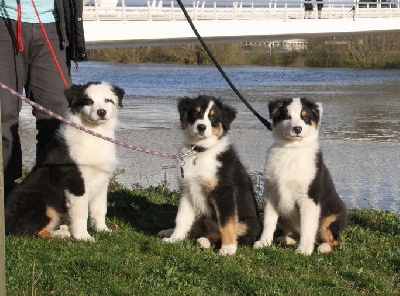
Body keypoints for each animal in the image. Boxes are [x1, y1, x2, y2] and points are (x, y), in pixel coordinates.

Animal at [4, 81, 123, 240]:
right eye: (88, 101)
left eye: (107, 100)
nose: (101, 112)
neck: (94, 134)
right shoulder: (76, 183)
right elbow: (81, 213)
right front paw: (82, 237)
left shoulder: (102, 181)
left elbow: (99, 209)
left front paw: (102, 229)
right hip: (41, 203)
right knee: (30, 231)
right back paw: (62, 233)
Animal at [158, 96, 264, 256]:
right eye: (196, 113)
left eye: (213, 117)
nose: (201, 127)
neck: (199, 151)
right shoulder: (188, 190)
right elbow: (181, 218)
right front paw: (174, 239)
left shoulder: (224, 191)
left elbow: (226, 223)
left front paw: (228, 249)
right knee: (195, 228)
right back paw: (170, 233)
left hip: (248, 223)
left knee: (224, 231)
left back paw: (205, 241)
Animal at [253, 97, 346, 254]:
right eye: (287, 116)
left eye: (305, 117)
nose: (297, 129)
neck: (292, 149)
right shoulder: (272, 193)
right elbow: (268, 221)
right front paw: (263, 242)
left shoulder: (309, 197)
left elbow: (307, 226)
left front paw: (304, 250)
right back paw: (286, 239)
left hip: (331, 217)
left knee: (333, 239)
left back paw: (324, 246)